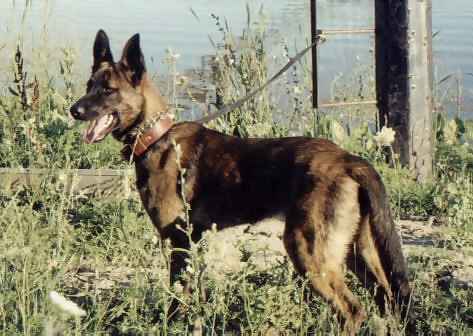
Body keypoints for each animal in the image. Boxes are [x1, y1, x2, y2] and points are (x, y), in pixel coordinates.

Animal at [69, 30, 410, 334]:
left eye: (108, 90)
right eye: (89, 85)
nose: (75, 110)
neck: (156, 136)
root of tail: (350, 161)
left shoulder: (178, 240)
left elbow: (177, 299)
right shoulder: (192, 243)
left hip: (309, 252)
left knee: (352, 310)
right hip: (356, 251)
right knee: (386, 299)